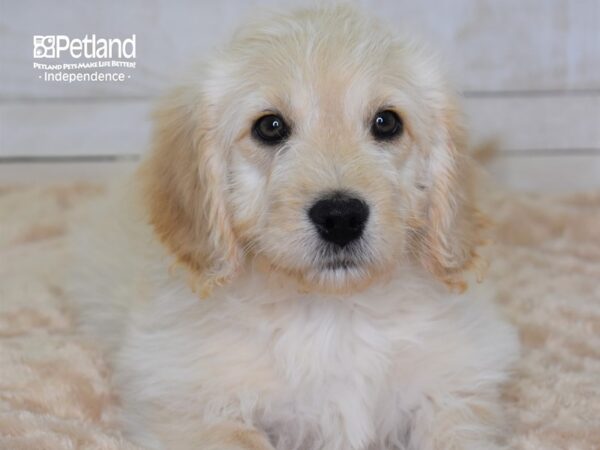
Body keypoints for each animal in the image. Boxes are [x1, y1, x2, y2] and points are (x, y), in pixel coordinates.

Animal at [74, 4, 516, 450]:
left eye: (386, 122)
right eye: (269, 127)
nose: (341, 218)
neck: (332, 316)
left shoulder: (455, 391)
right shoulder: (191, 405)